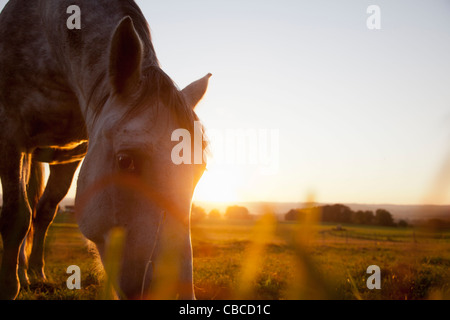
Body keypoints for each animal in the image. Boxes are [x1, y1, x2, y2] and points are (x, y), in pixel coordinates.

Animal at [0, 0, 211, 300]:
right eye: (125, 160)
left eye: (200, 170)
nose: (171, 293)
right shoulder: (11, 135)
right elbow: (16, 216)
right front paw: (8, 286)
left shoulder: (71, 157)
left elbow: (44, 212)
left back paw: (33, 273)